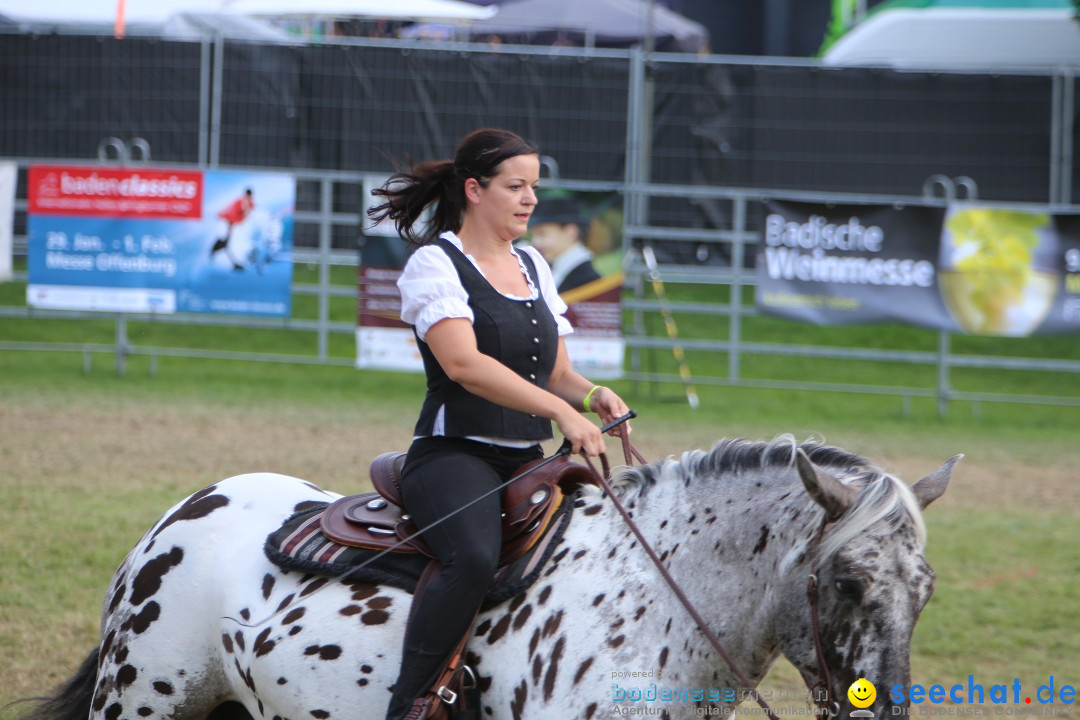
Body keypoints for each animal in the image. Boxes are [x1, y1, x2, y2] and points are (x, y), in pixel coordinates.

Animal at [21, 436, 959, 720]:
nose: (884, 708)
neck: (651, 607)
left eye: (925, 591)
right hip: (141, 702)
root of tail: (176, 518)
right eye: (849, 583)